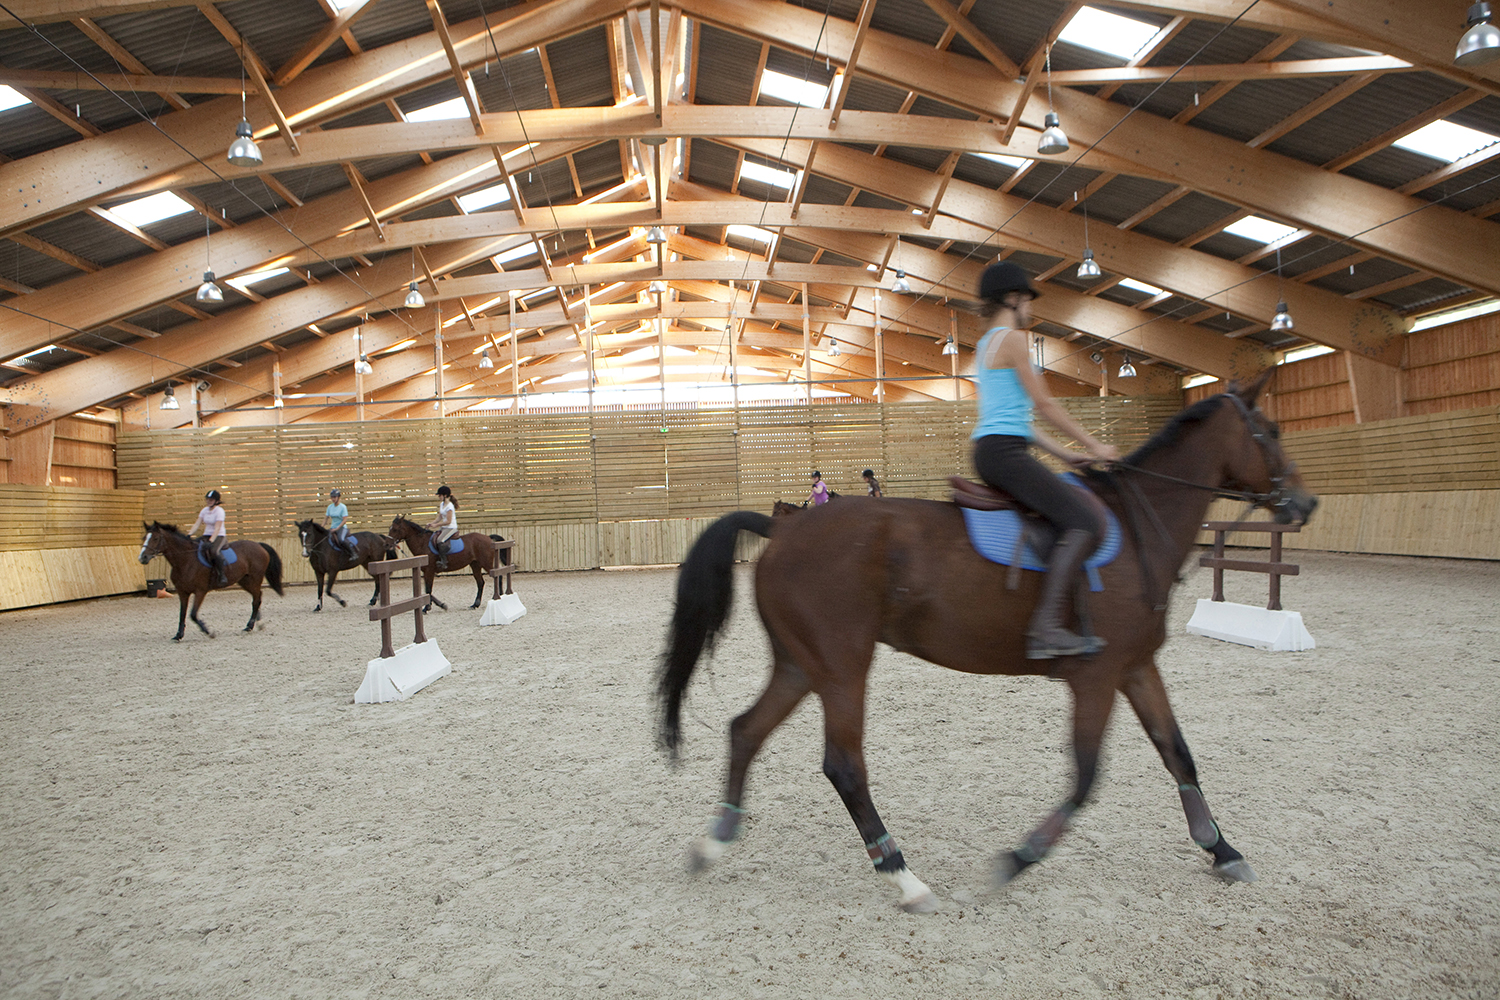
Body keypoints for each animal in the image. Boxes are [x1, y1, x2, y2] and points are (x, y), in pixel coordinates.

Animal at [139, 524, 285, 641]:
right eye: (144, 537)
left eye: (155, 538)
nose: (142, 558)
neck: (185, 559)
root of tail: (259, 545)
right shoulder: (182, 592)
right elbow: (182, 614)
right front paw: (178, 635)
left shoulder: (200, 591)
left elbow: (193, 614)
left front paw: (209, 632)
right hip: (245, 581)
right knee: (257, 597)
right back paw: (256, 623)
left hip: (255, 579)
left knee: (257, 599)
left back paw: (250, 625)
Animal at [663, 373, 1320, 917]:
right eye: (1270, 431)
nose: (1306, 503)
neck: (1139, 533)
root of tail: (785, 528)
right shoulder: (1098, 675)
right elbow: (1086, 775)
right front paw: (1018, 859)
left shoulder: (1135, 667)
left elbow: (1178, 754)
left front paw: (1222, 850)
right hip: (844, 666)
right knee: (843, 765)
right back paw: (903, 876)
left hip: (804, 664)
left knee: (745, 730)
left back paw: (713, 844)